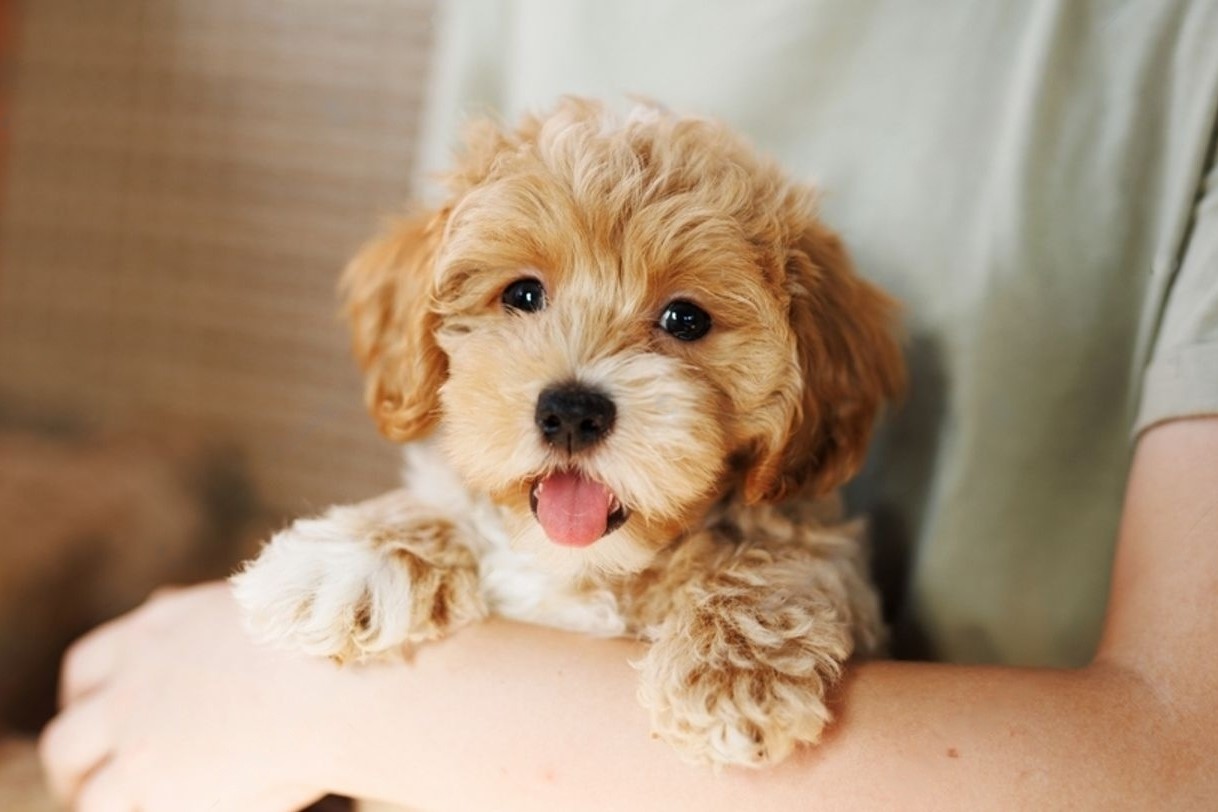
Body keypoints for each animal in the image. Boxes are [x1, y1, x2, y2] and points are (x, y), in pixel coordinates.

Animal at [235, 96, 906, 769]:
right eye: (524, 293)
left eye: (686, 319)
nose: (572, 411)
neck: (585, 567)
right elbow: (447, 507)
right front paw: (344, 562)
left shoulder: (826, 548)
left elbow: (781, 556)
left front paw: (734, 670)